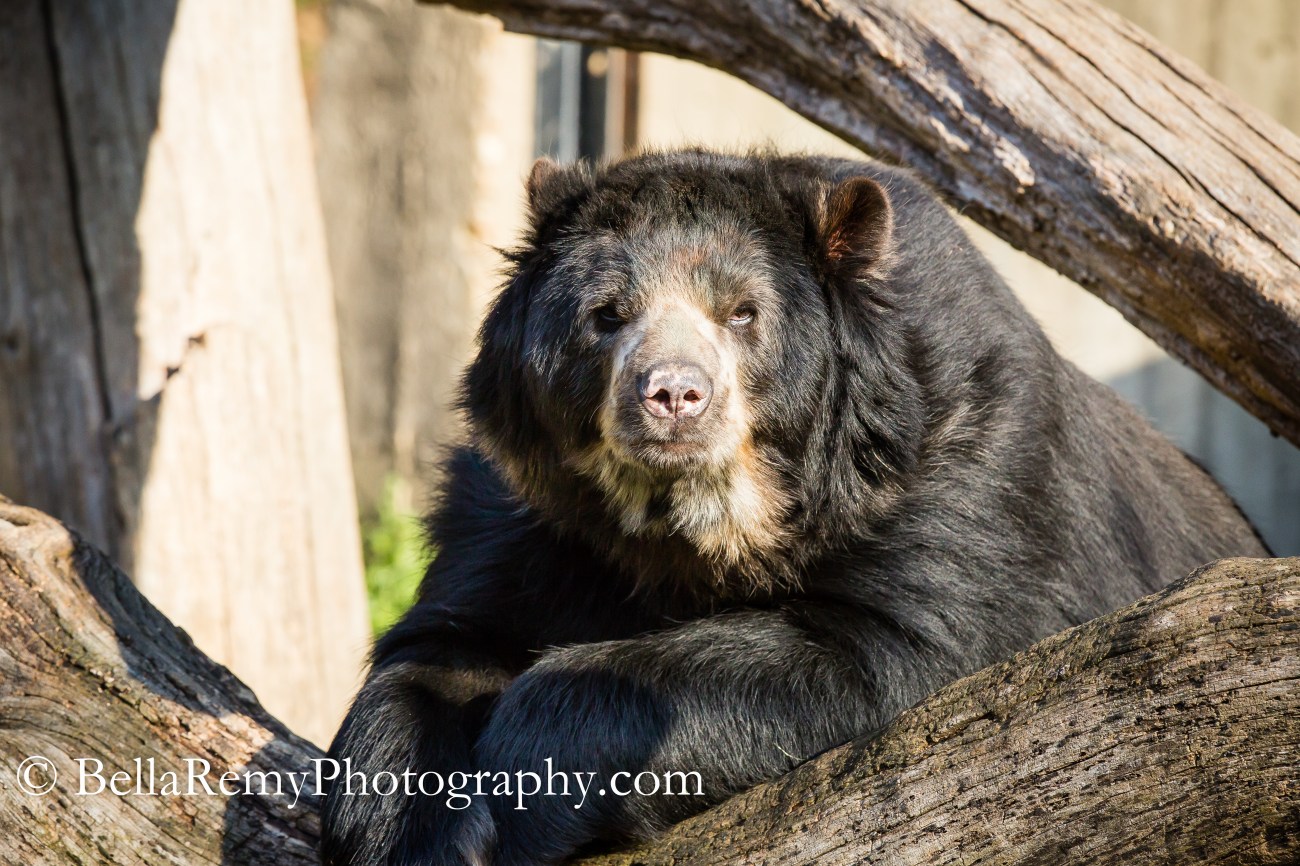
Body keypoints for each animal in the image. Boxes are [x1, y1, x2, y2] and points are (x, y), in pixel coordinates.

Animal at [319, 149, 1269, 866]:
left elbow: (886, 652)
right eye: (606, 315)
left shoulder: (967, 472)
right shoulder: (524, 513)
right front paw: (418, 833)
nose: (674, 395)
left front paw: (525, 779)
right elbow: (440, 646)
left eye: (743, 314)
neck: (694, 523)